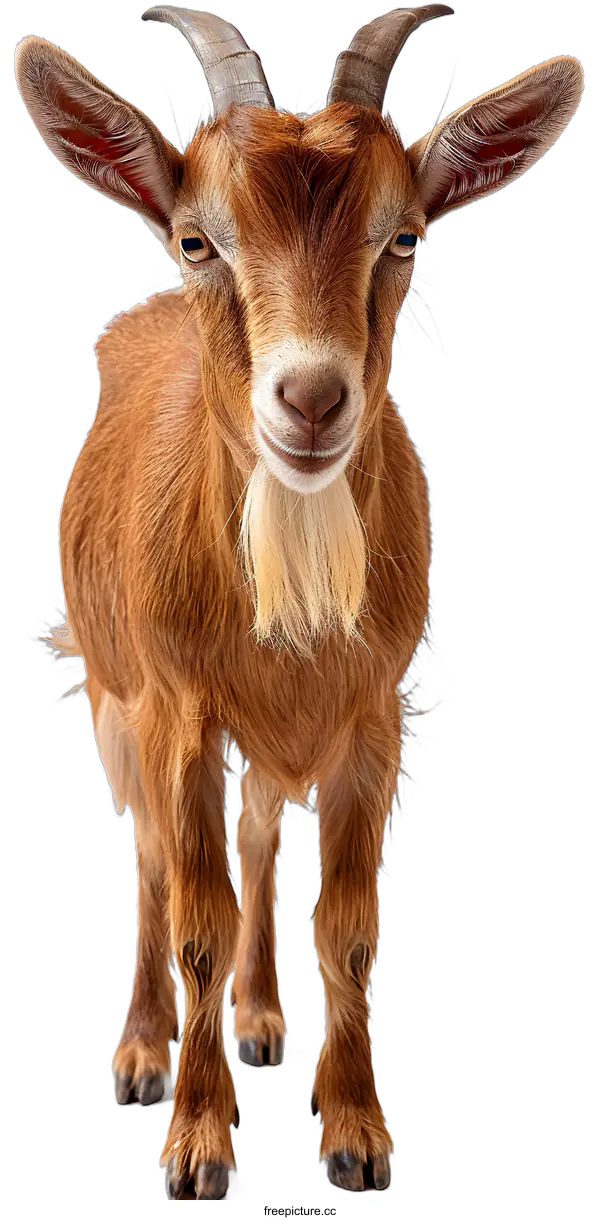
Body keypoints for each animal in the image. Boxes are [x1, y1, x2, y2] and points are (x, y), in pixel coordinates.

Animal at [15, 2, 584, 1200]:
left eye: (404, 237)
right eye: (198, 240)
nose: (313, 399)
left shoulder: (369, 711)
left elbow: (348, 923)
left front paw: (358, 1132)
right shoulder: (181, 707)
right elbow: (193, 909)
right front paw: (195, 1143)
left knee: (265, 823)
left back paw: (264, 1018)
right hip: (117, 693)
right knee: (149, 849)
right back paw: (143, 1050)